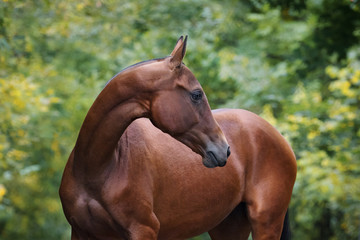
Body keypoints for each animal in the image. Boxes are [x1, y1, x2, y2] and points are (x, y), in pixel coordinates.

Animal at [58, 36, 296, 240]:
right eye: (196, 94)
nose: (224, 150)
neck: (99, 168)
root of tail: (278, 137)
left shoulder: (143, 230)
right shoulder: (80, 233)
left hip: (266, 223)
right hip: (229, 227)